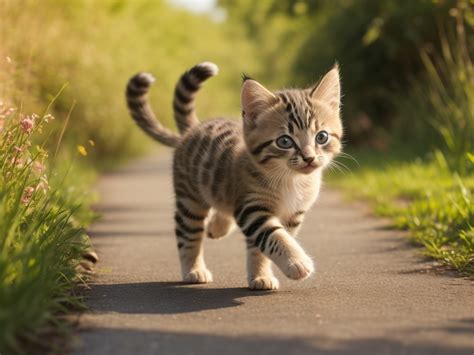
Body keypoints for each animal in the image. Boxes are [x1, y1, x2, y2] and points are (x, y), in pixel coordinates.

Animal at [126, 62, 340, 290]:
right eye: (284, 141)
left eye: (322, 137)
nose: (309, 158)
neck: (292, 181)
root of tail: (192, 128)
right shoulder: (253, 208)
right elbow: (274, 236)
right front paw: (297, 262)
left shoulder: (292, 215)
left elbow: (263, 246)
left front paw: (260, 275)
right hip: (190, 200)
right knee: (188, 235)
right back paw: (194, 269)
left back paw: (217, 227)